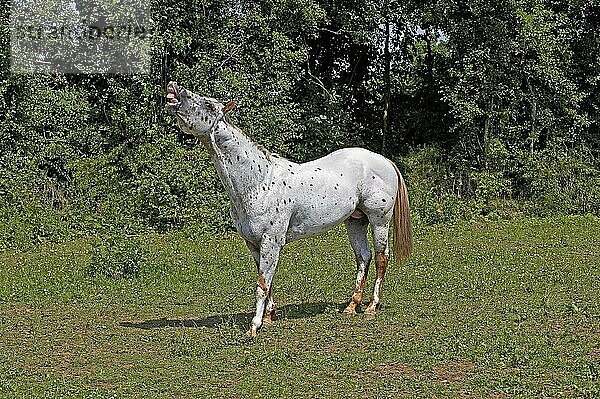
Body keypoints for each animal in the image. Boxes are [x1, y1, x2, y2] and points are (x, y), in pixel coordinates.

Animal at [166, 82, 414, 338]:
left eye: (208, 103)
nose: (174, 90)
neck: (259, 182)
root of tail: (384, 160)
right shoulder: (253, 243)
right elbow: (267, 281)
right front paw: (268, 317)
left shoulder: (271, 241)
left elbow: (261, 284)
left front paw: (254, 326)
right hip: (355, 221)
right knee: (363, 258)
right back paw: (351, 306)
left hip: (379, 220)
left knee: (381, 258)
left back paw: (372, 306)